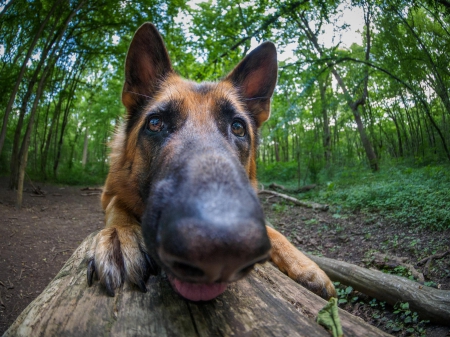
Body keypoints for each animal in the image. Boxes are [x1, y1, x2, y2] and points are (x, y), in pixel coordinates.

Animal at [86, 24, 336, 302]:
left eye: (238, 127)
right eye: (155, 123)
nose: (220, 249)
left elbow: (273, 231)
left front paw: (305, 264)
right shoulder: (108, 193)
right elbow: (118, 205)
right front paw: (121, 235)